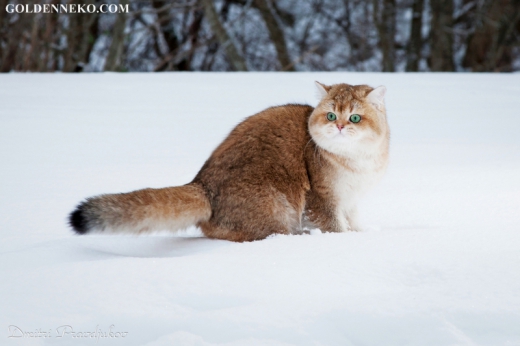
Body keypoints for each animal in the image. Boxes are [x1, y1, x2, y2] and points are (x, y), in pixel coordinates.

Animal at [67, 82, 388, 242]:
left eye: (355, 117)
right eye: (331, 115)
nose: (340, 127)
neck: (357, 160)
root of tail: (202, 184)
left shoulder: (350, 200)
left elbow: (352, 220)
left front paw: (360, 234)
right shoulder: (322, 199)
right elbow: (335, 226)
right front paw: (344, 242)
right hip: (276, 206)